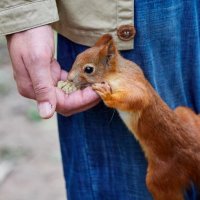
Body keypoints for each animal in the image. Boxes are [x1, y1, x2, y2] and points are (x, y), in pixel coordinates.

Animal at [66, 34, 200, 198]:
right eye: (78, 56)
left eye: (88, 69)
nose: (69, 78)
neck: (118, 71)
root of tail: (193, 150)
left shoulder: (131, 85)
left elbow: (138, 98)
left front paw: (106, 94)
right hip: (185, 113)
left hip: (162, 177)